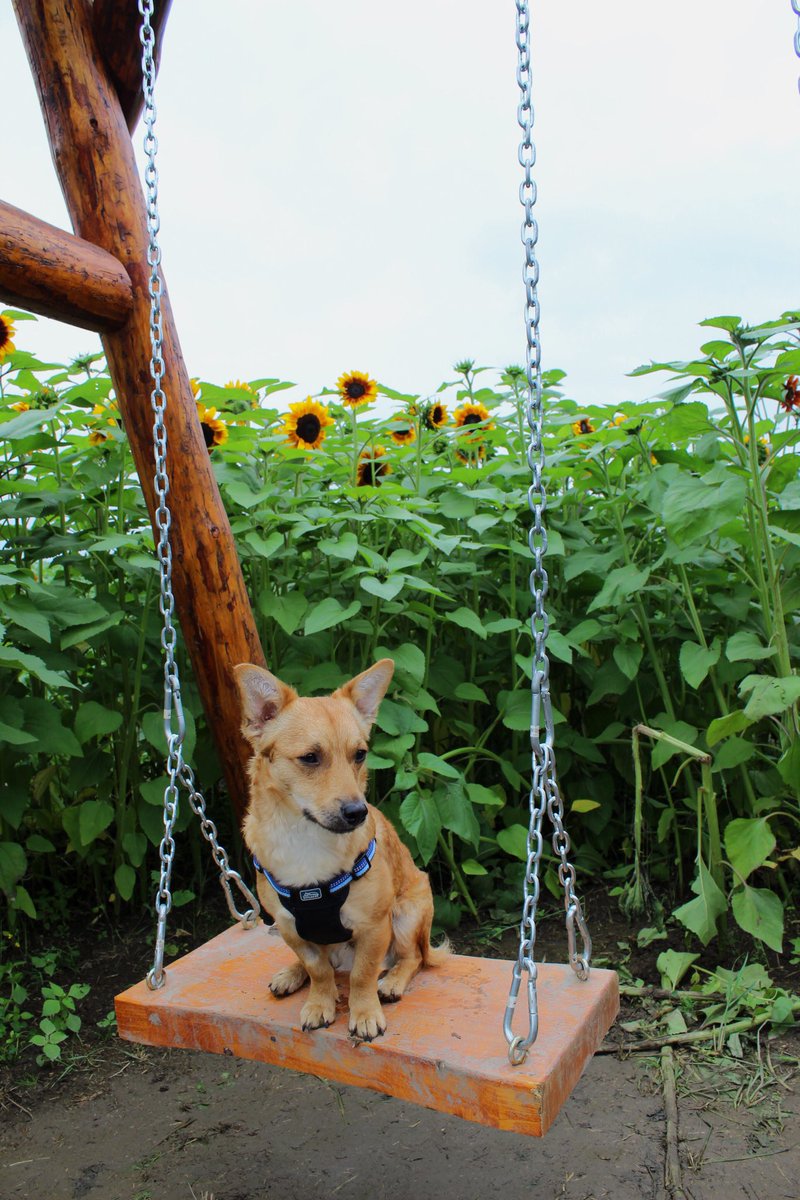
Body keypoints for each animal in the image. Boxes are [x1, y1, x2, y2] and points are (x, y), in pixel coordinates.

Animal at [235, 657, 448, 1041]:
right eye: (309, 758)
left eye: (360, 755)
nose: (357, 812)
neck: (307, 840)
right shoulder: (291, 928)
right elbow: (317, 970)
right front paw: (320, 1003)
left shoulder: (375, 927)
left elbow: (363, 975)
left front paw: (364, 1014)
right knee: (325, 966)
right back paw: (292, 974)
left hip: (407, 914)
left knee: (412, 958)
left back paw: (392, 981)